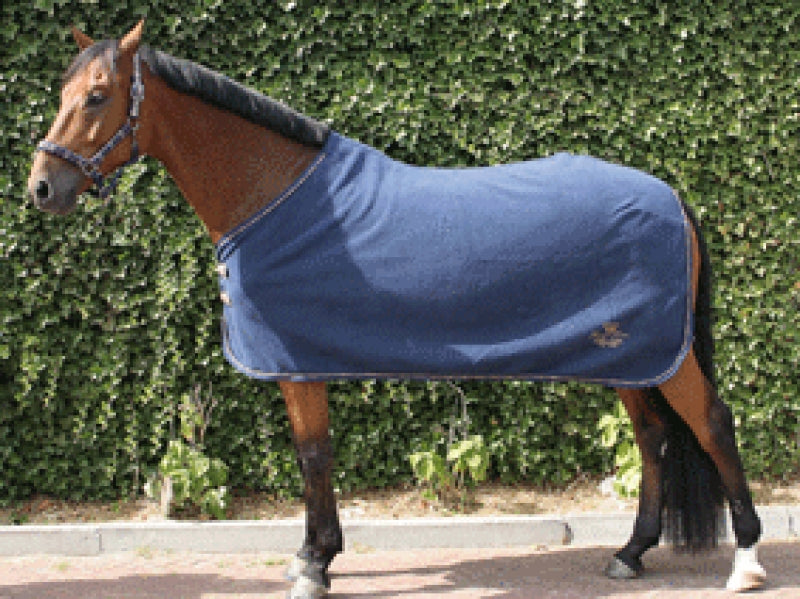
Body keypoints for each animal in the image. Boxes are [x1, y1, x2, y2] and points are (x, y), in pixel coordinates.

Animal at [27, 21, 766, 598]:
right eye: (62, 94)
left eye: (97, 96)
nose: (41, 187)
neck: (275, 194)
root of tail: (671, 194)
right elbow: (314, 456)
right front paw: (318, 554)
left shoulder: (297, 362)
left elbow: (313, 456)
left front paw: (314, 562)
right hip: (627, 356)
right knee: (655, 437)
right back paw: (630, 554)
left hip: (661, 357)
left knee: (712, 424)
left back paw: (747, 561)